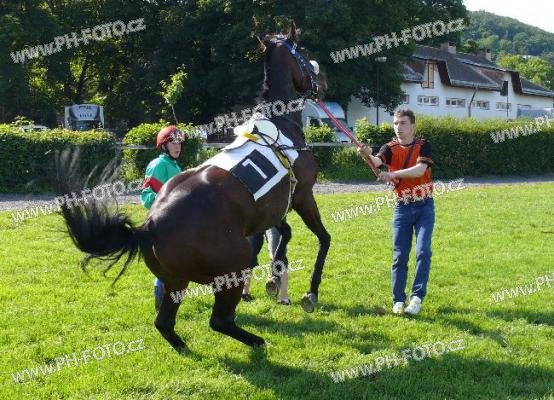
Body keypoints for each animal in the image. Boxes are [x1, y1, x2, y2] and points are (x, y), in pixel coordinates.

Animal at [56, 22, 331, 353]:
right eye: (303, 53)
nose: (323, 81)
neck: (280, 127)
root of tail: (149, 227)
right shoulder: (302, 197)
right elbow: (323, 239)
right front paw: (310, 293)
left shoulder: (272, 209)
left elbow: (284, 235)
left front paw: (276, 279)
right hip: (231, 268)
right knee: (220, 321)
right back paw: (257, 342)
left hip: (176, 282)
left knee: (164, 322)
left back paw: (185, 347)